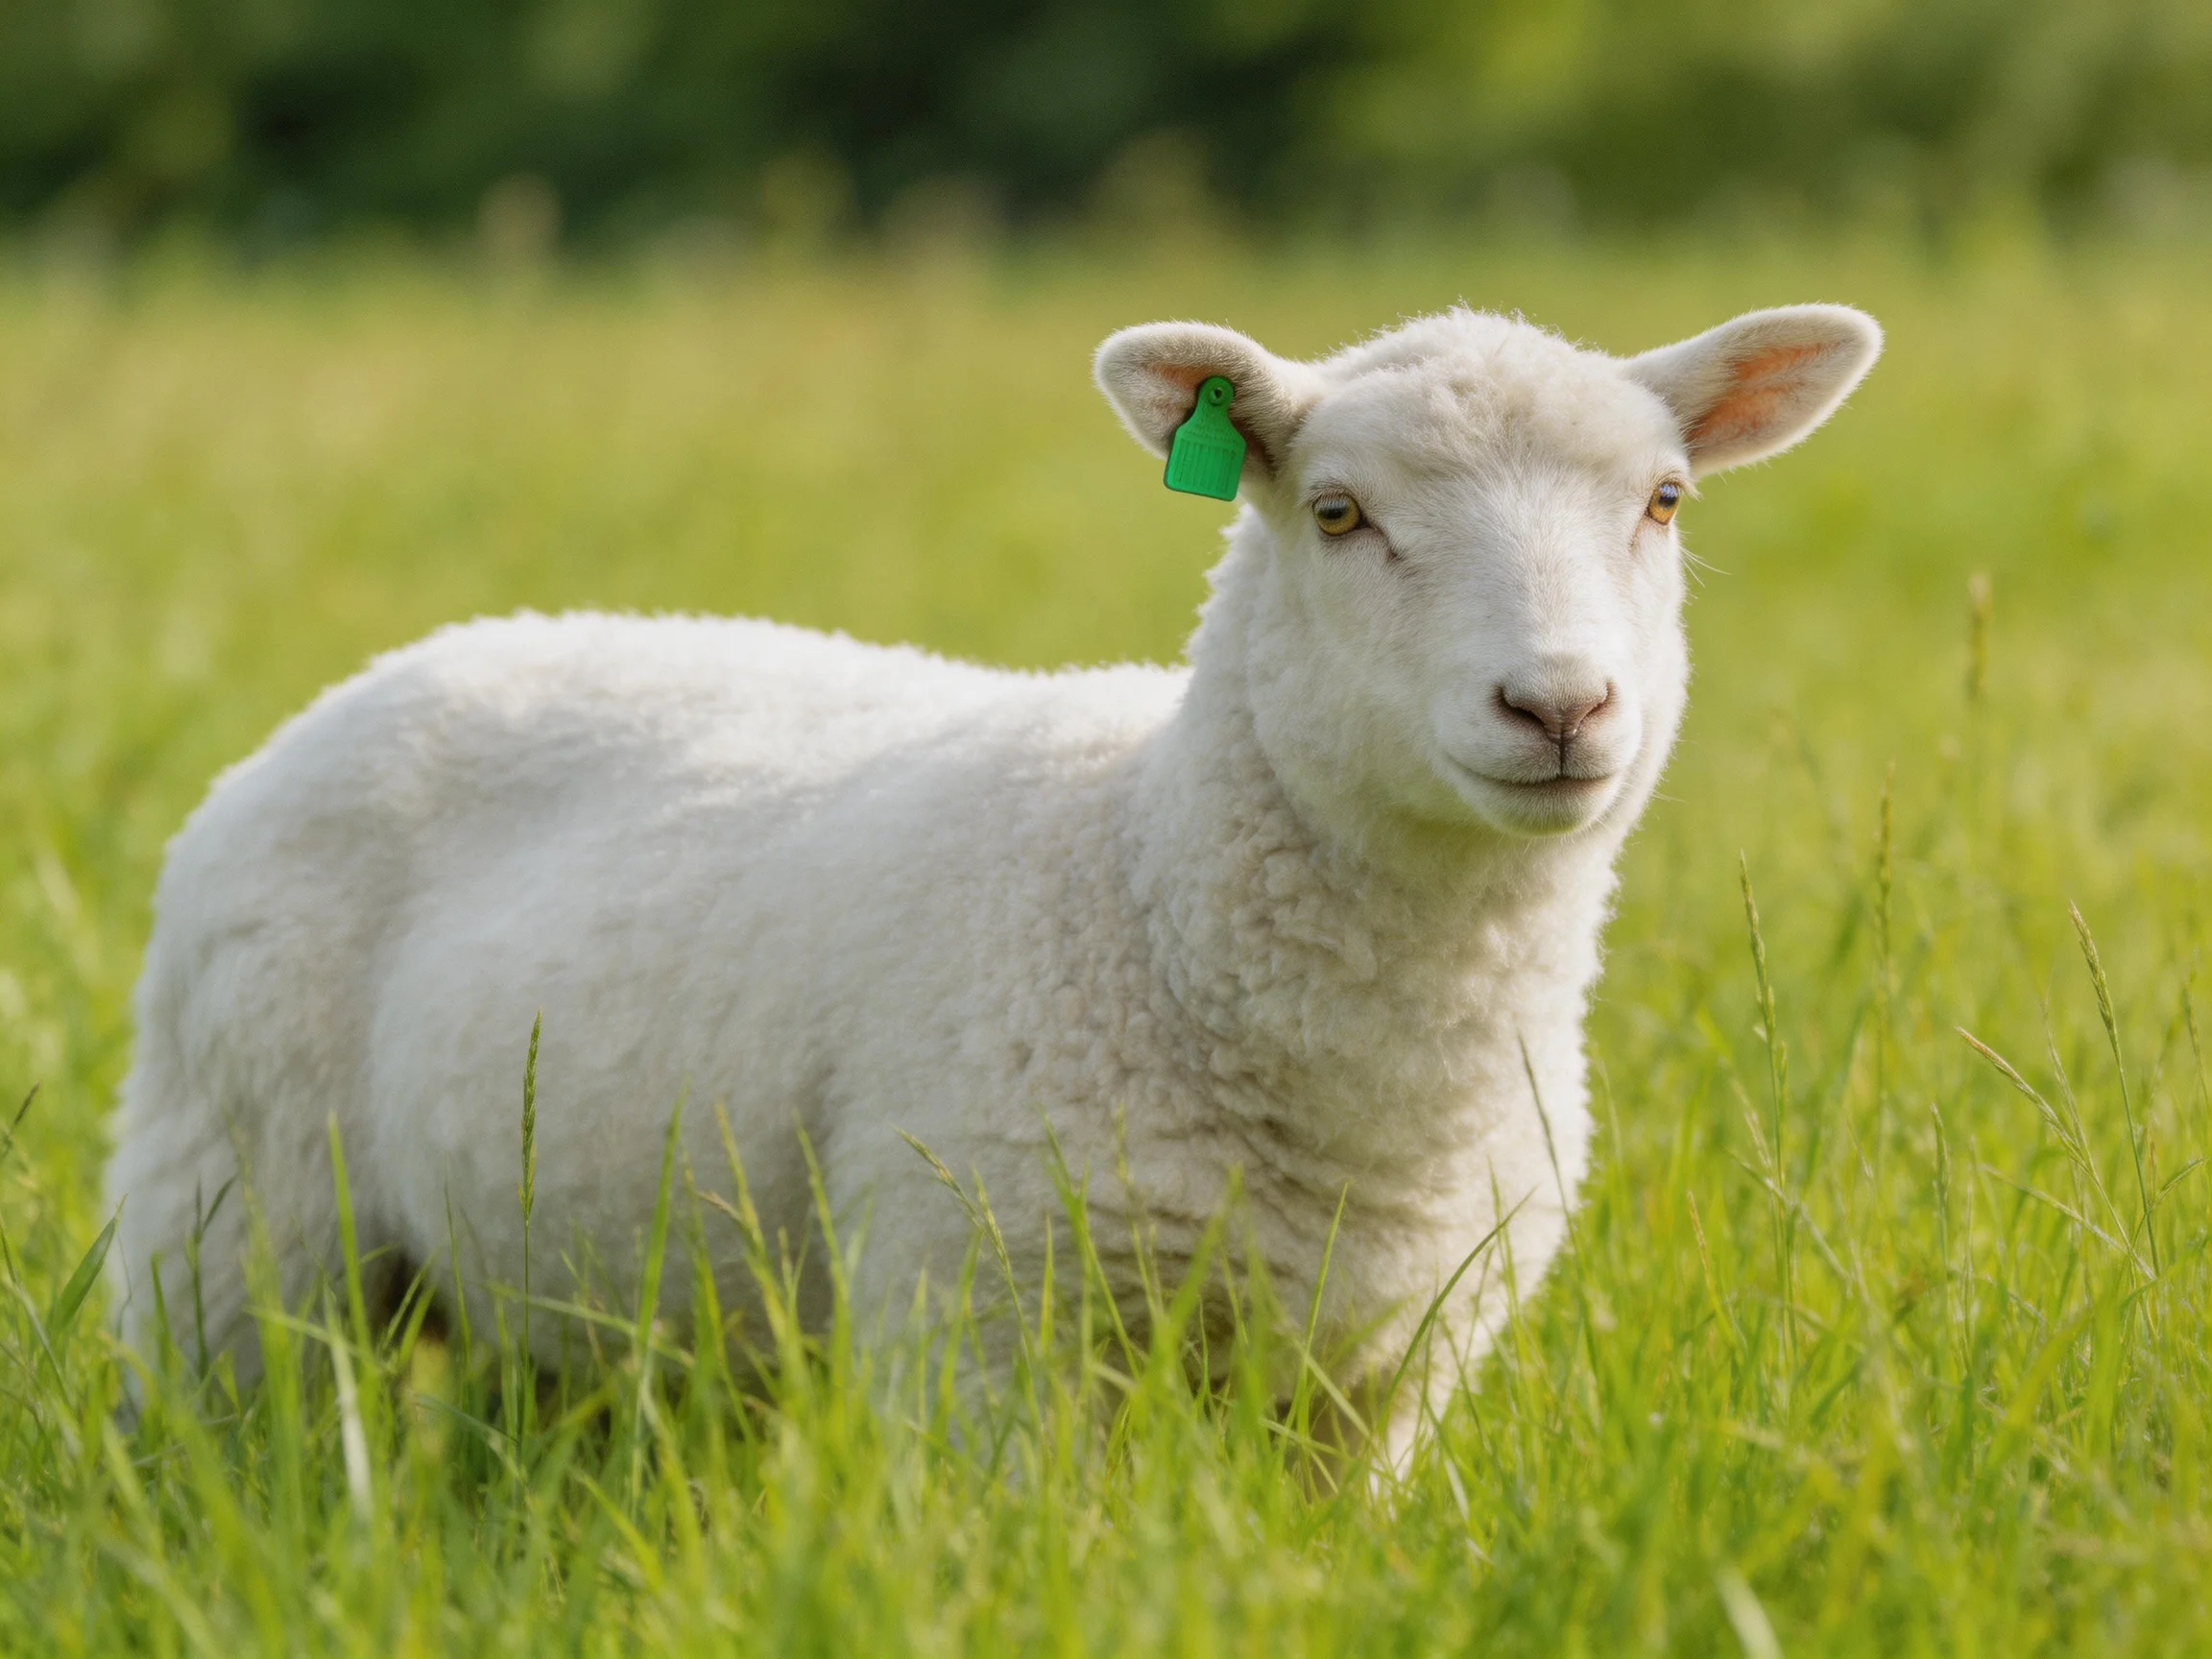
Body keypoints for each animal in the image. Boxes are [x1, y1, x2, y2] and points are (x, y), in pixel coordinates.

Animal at [104, 301, 1879, 1453]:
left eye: (1663, 501)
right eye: (1336, 511)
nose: (1560, 705)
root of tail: (398, 667)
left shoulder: (1381, 1375)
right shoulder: (979, 1323)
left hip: (559, 1266)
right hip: (228, 1224)